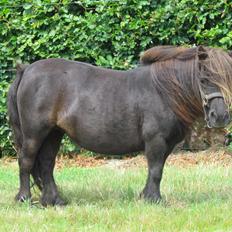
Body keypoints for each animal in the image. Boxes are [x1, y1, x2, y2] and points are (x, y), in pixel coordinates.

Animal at [7, 45, 232, 205]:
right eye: (204, 79)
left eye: (227, 79)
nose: (220, 116)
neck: (164, 92)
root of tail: (26, 70)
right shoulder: (156, 140)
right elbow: (156, 170)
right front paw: (154, 200)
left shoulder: (166, 144)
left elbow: (157, 169)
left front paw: (146, 196)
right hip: (34, 134)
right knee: (26, 161)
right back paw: (24, 198)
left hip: (53, 133)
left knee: (46, 164)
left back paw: (54, 201)